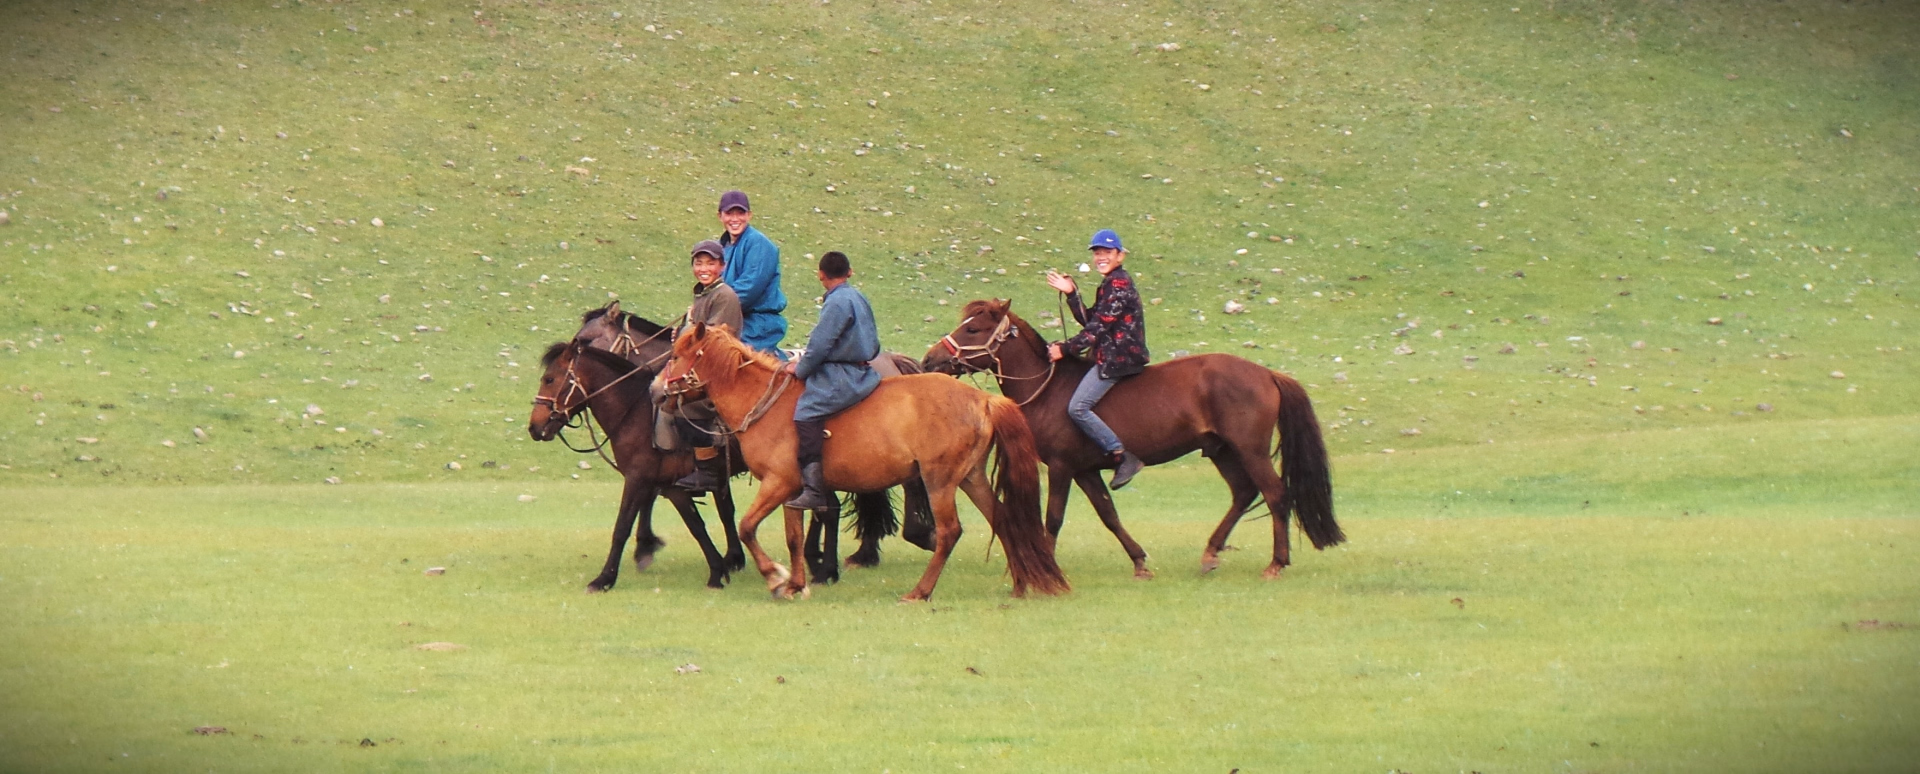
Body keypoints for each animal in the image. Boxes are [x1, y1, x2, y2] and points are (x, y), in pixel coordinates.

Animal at [571, 302, 933, 581]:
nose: (656, 391)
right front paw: (730, 556)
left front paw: (647, 547)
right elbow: (720, 507)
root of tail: (890, 360)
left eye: (585, 339)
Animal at [658, 323, 1069, 601]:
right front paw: (795, 584)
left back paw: (920, 591)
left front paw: (775, 577)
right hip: (970, 477)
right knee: (1001, 516)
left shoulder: (777, 483)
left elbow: (746, 527)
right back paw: (1019, 584)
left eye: (677, 355)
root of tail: (981, 399)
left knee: (950, 532)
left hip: (938, 480)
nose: (656, 391)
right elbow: (793, 537)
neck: (765, 401)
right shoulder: (792, 490)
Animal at [922, 299, 1342, 580]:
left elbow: (1054, 518)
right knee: (1243, 493)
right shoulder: (1085, 471)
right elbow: (1108, 513)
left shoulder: (1061, 467)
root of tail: (1267, 374)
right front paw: (1139, 561)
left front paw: (1046, 564)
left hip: (1250, 450)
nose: (929, 360)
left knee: (1274, 494)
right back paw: (1211, 552)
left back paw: (1276, 563)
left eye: (972, 329)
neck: (1049, 389)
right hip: (1222, 450)